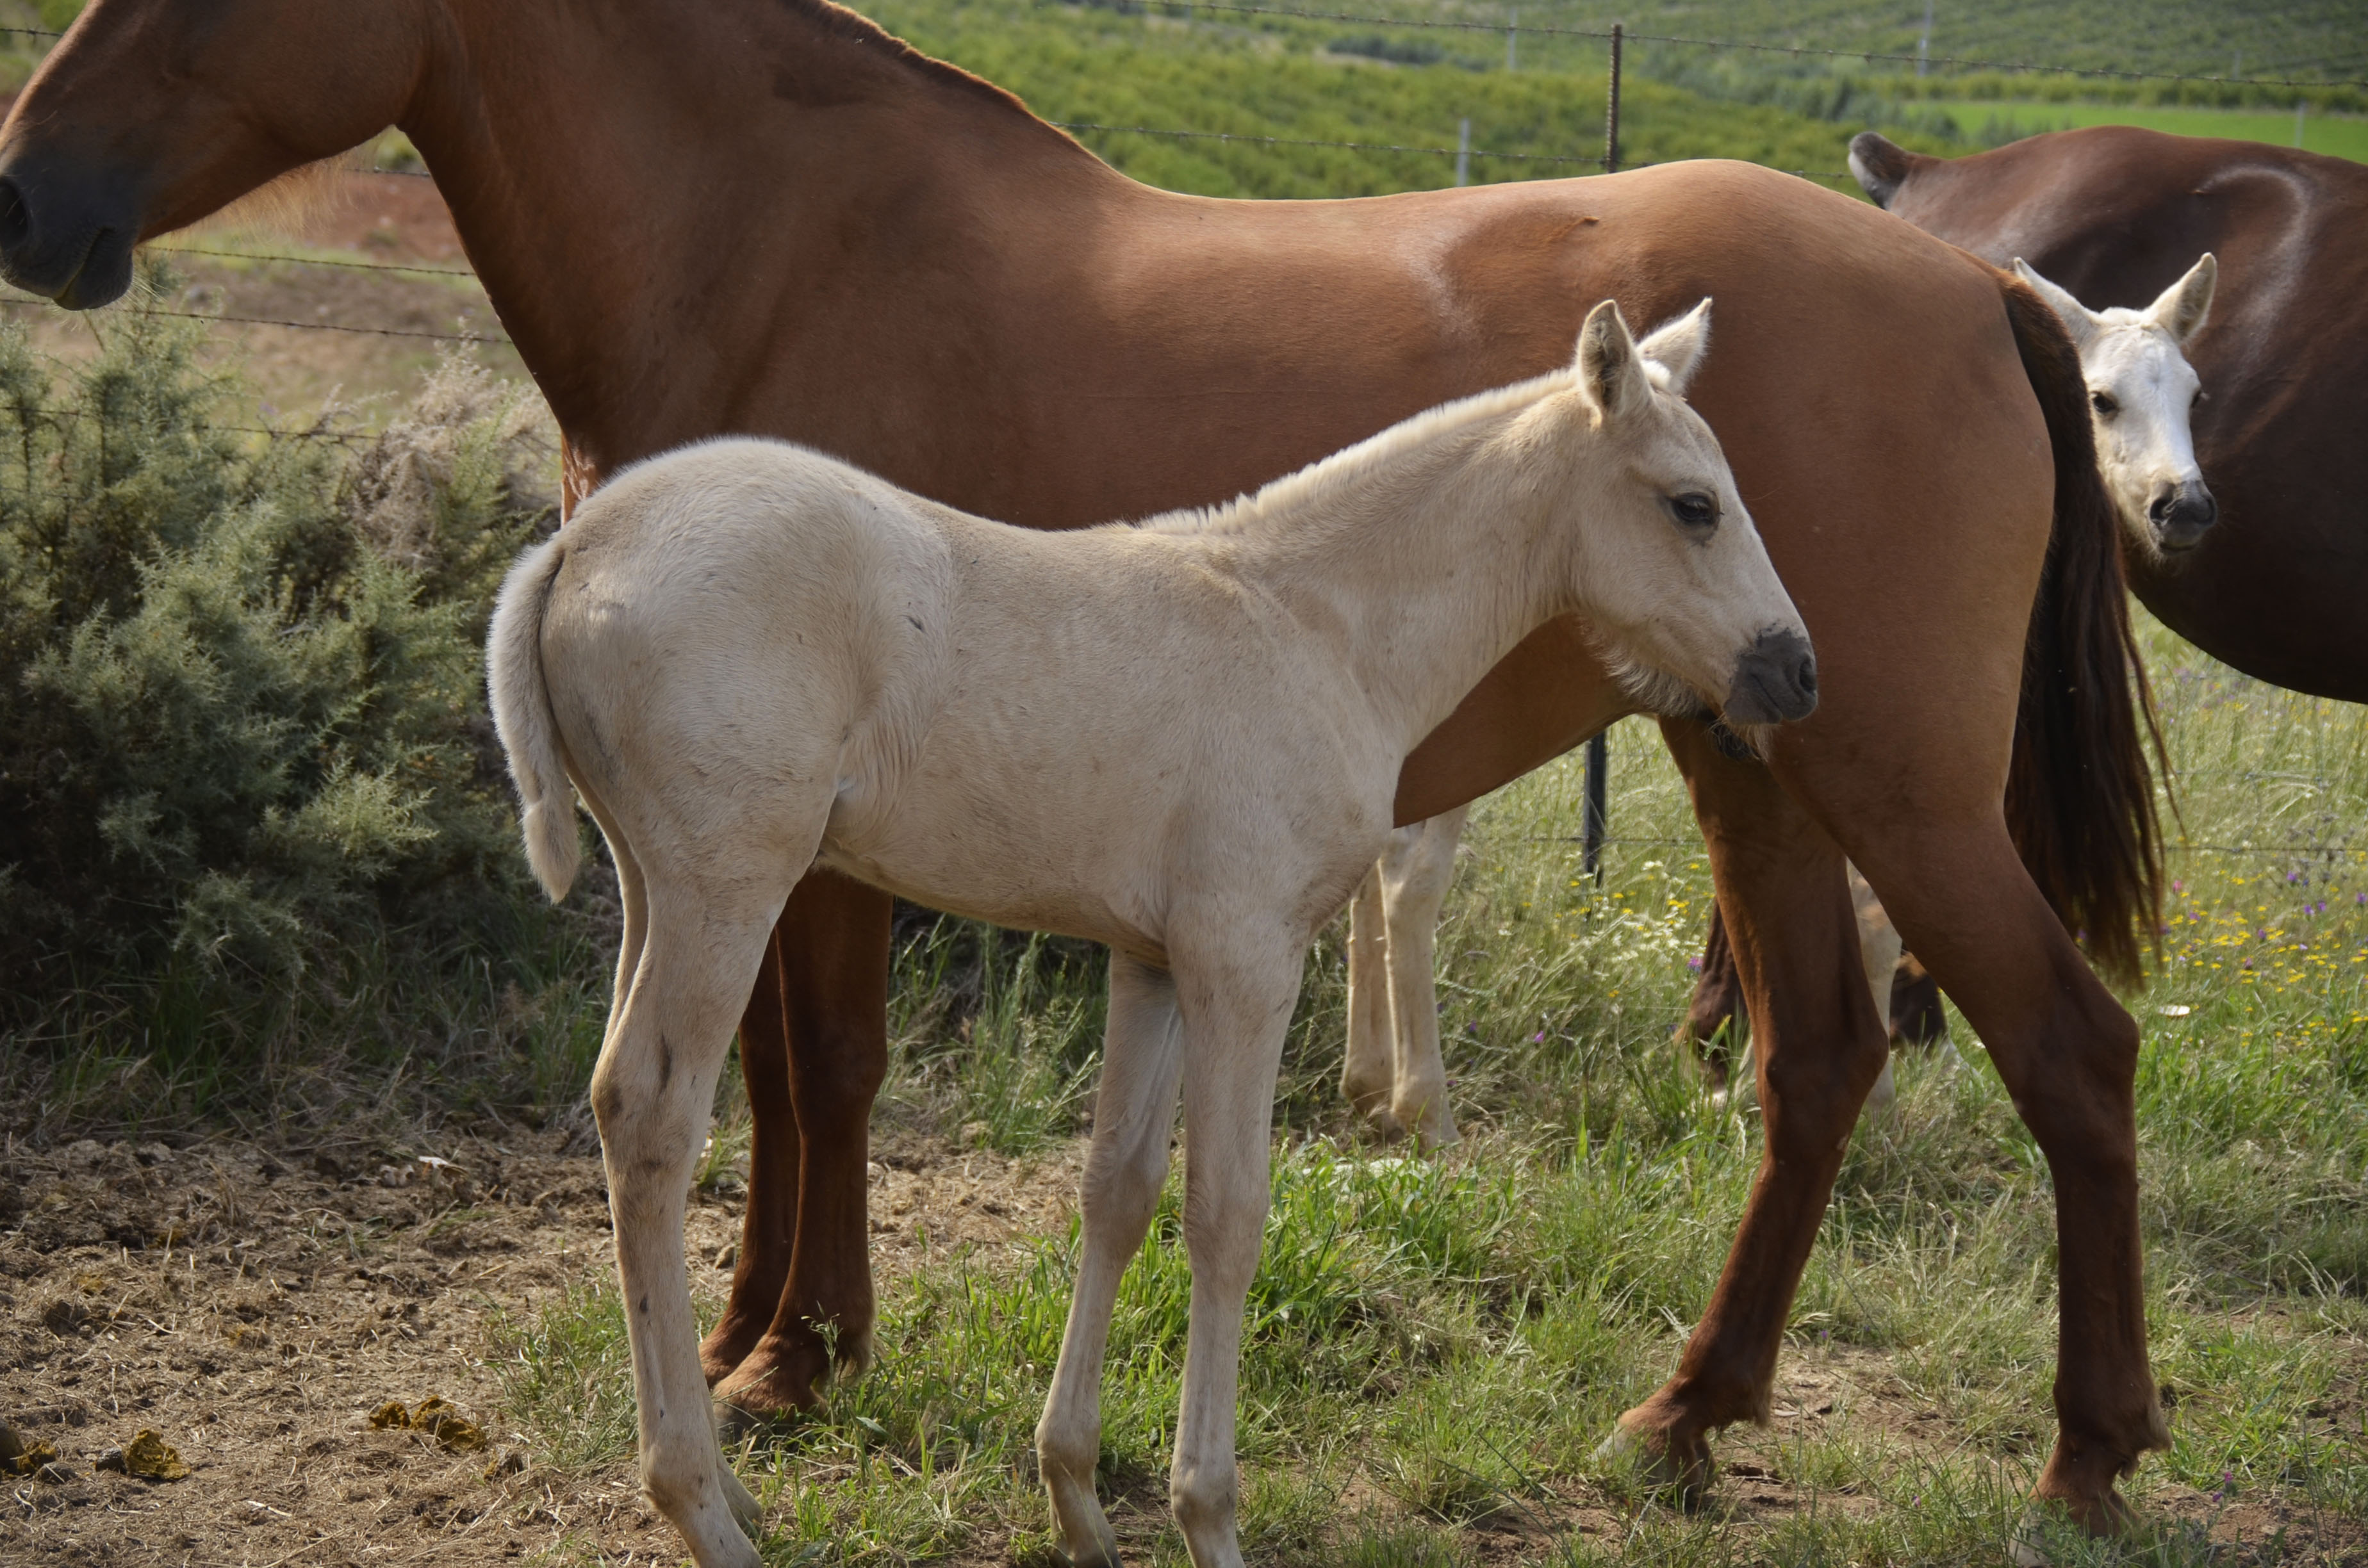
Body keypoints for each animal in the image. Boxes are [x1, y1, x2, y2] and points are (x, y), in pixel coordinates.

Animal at [481, 298, 1809, 1568]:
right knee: (654, 1115)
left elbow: (1116, 1190)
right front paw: (1208, 1514)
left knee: (617, 1097)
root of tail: (575, 544)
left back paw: (731, 1490)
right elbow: (1227, 1212)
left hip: (650, 883)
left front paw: (1075, 1492)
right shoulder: (1247, 958)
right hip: (727, 885)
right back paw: (701, 1509)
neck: (1316, 626)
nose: (1794, 673)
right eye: (1693, 504)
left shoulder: (1153, 959)